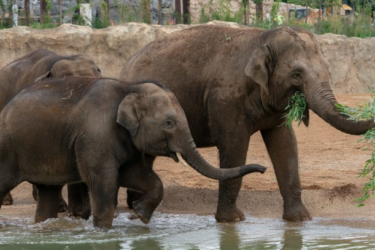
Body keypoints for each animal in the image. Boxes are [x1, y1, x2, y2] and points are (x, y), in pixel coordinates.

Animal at [0, 77, 268, 229]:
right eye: (169, 123)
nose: (264, 168)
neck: (129, 88)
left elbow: (137, 175)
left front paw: (139, 216)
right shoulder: (95, 136)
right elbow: (105, 182)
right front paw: (104, 231)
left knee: (47, 192)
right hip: (7, 150)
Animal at [122, 26, 374, 223]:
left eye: (328, 70)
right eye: (296, 74)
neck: (261, 39)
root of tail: (129, 63)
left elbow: (285, 145)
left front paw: (301, 219)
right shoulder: (226, 100)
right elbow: (235, 147)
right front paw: (232, 221)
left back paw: (135, 209)